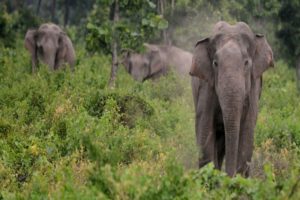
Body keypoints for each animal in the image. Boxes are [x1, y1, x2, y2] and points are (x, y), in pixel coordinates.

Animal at [190, 20, 274, 177]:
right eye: (215, 63)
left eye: (246, 63)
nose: (228, 176)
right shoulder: (207, 86)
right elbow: (205, 128)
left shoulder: (253, 87)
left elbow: (247, 131)